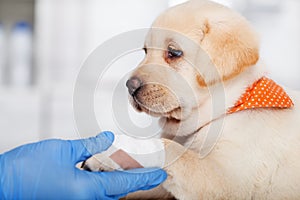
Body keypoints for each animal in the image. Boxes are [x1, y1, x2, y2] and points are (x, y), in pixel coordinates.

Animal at [83, 0, 300, 199]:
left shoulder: (228, 181)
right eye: (145, 51)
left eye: (174, 53)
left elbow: (170, 148)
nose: (130, 86)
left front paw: (112, 152)